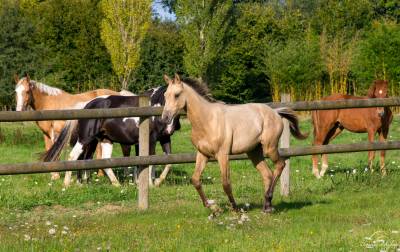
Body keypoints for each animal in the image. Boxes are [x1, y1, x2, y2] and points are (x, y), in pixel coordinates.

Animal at [43, 88, 180, 187]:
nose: (175, 126)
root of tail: (86, 105)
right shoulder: (150, 140)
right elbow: (149, 161)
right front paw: (149, 183)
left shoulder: (159, 139)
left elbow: (160, 160)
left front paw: (149, 181)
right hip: (85, 139)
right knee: (73, 157)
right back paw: (67, 184)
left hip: (104, 140)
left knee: (101, 160)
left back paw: (113, 184)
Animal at [161, 74, 308, 213]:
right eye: (165, 95)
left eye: (177, 95)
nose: (165, 118)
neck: (207, 120)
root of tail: (275, 112)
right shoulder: (202, 154)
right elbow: (196, 180)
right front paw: (213, 207)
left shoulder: (222, 155)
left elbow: (226, 183)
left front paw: (235, 208)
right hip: (254, 151)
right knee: (267, 174)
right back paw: (267, 207)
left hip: (269, 148)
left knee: (280, 165)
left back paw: (268, 200)